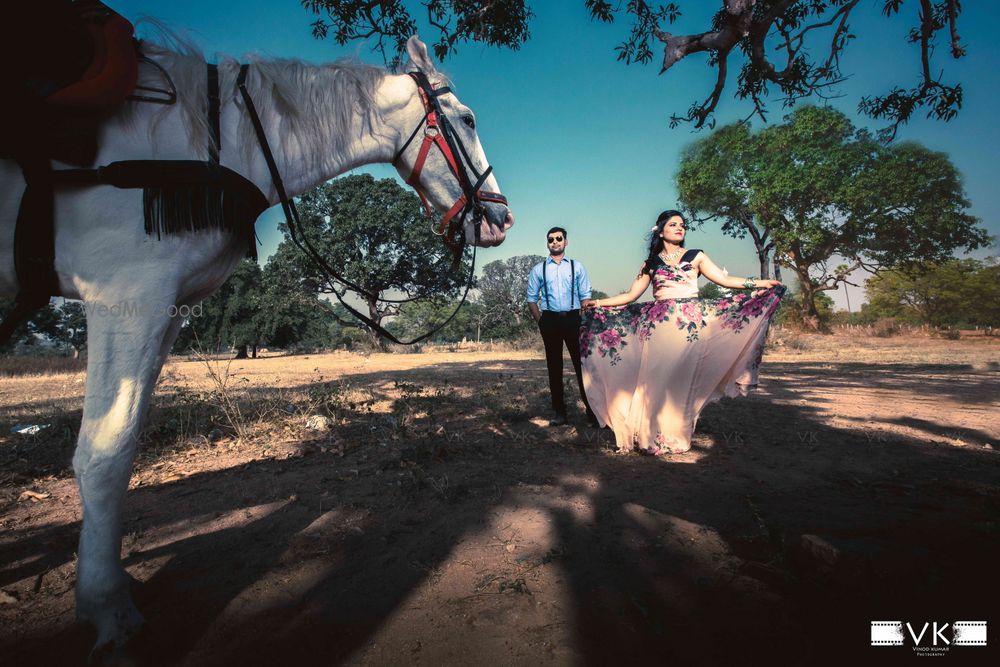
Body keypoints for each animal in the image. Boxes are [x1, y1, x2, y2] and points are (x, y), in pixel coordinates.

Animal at [0, 34, 512, 648]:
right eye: (468, 119)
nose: (500, 219)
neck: (217, 137)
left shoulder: (169, 307)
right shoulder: (127, 291)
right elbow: (106, 451)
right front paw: (107, 606)